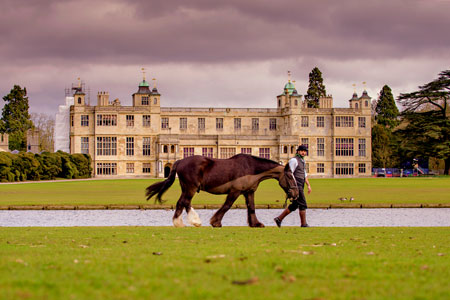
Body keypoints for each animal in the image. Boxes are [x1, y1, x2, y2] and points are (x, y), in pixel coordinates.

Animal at [145, 155, 298, 227]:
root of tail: (180, 161)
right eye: (290, 176)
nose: (296, 194)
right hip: (191, 187)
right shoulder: (235, 191)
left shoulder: (249, 192)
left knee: (182, 203)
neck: (251, 168)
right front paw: (215, 222)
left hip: (187, 187)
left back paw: (183, 222)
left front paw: (256, 224)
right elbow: (227, 206)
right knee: (184, 202)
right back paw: (190, 222)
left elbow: (252, 208)